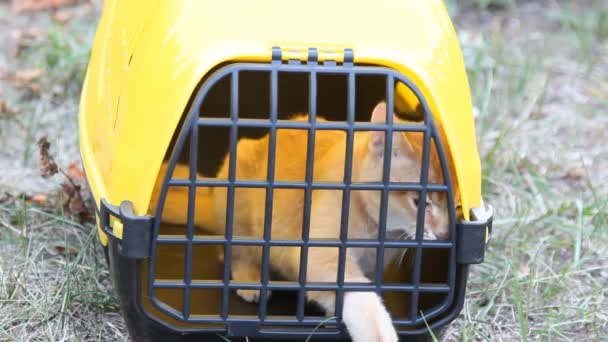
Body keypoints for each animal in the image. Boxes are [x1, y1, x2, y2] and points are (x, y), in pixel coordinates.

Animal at [150, 101, 448, 342]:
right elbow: (360, 298)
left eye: (450, 200)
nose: (445, 233)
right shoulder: (320, 256)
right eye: (419, 202)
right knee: (234, 254)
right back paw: (250, 282)